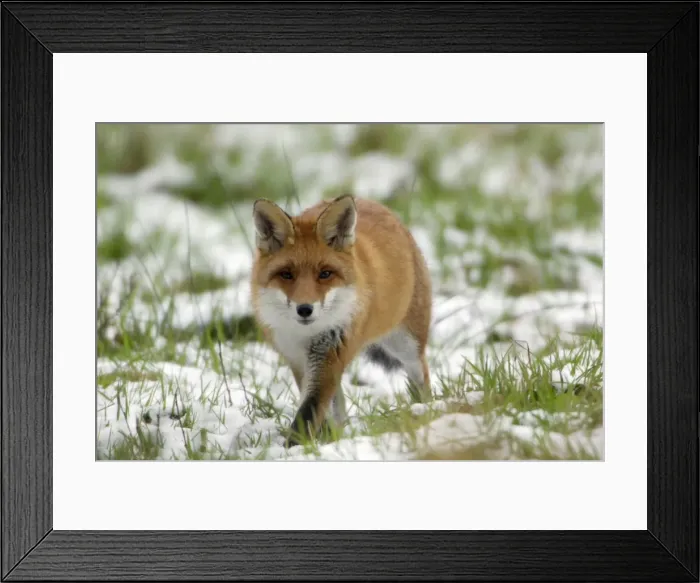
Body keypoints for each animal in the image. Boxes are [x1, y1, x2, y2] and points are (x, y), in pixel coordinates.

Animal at [250, 194, 432, 447]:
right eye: (286, 274)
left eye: (325, 274)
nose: (304, 309)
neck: (305, 335)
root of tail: (370, 201)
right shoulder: (298, 360)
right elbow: (317, 408)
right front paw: (317, 441)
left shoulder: (331, 350)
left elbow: (309, 411)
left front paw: (293, 448)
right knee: (340, 406)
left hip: (406, 346)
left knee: (421, 376)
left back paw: (425, 409)